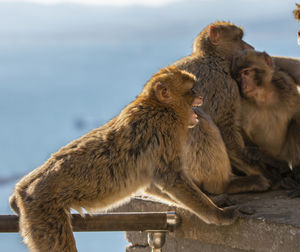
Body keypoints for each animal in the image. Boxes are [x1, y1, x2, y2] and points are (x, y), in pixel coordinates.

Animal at [10, 66, 239, 252]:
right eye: (191, 89)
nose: (200, 96)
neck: (159, 106)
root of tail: (26, 192)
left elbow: (151, 185)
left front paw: (213, 199)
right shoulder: (164, 130)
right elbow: (171, 179)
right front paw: (217, 215)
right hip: (43, 210)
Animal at [231, 49, 300, 185]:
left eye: (246, 72)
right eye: (238, 77)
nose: (243, 86)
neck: (263, 96)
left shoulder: (287, 86)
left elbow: (297, 116)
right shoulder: (239, 100)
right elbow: (237, 126)